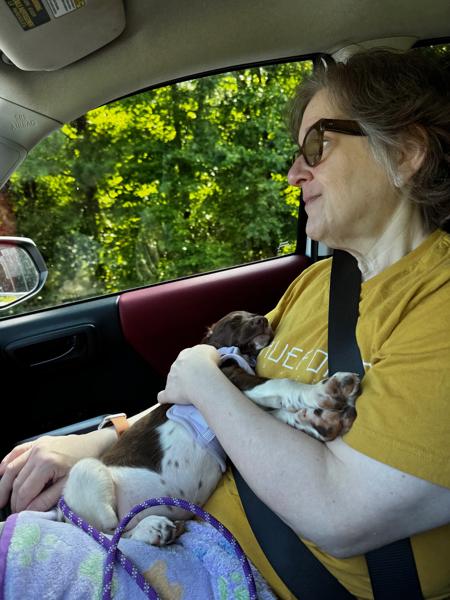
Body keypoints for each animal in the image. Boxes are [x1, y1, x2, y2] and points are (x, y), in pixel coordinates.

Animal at [62, 310, 360, 545]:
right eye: (235, 320)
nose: (263, 320)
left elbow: (282, 412)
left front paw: (319, 420)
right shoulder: (235, 379)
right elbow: (281, 385)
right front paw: (324, 392)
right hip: (87, 473)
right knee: (110, 533)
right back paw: (152, 528)